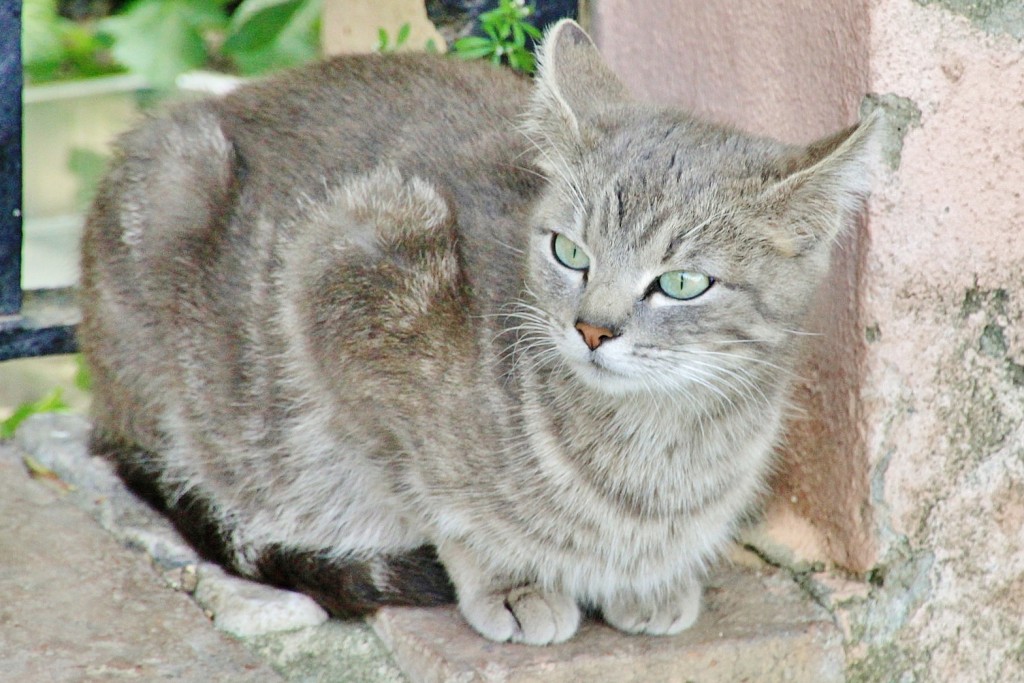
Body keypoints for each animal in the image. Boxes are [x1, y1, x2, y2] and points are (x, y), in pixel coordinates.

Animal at [79, 18, 880, 643]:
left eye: (681, 283)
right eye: (569, 251)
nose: (592, 329)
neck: (660, 452)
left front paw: (649, 581)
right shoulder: (343, 272)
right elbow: (424, 487)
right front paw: (506, 578)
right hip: (179, 196)